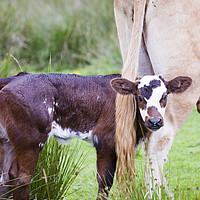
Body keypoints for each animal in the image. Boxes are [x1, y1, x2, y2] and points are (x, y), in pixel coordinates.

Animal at [0, 72, 191, 200]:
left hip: (6, 142)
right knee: (21, 176)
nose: (155, 121)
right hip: (31, 140)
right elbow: (104, 182)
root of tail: (14, 78)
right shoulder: (106, 142)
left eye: (164, 96)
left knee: (4, 176)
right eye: (140, 97)